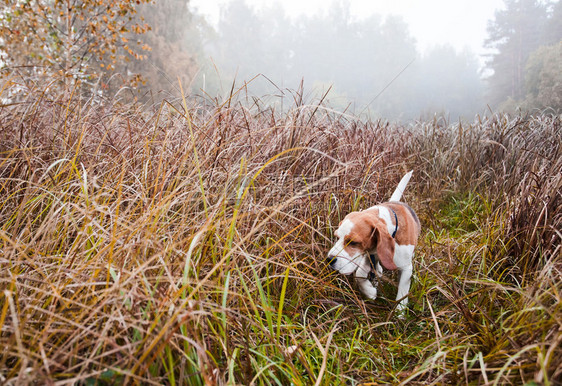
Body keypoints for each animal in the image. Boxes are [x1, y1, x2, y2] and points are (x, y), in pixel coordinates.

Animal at [326, 172, 418, 310]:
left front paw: (399, 312)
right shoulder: (367, 256)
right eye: (337, 237)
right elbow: (359, 275)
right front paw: (369, 291)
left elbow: (402, 293)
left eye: (353, 242)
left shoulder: (406, 268)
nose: (329, 259)